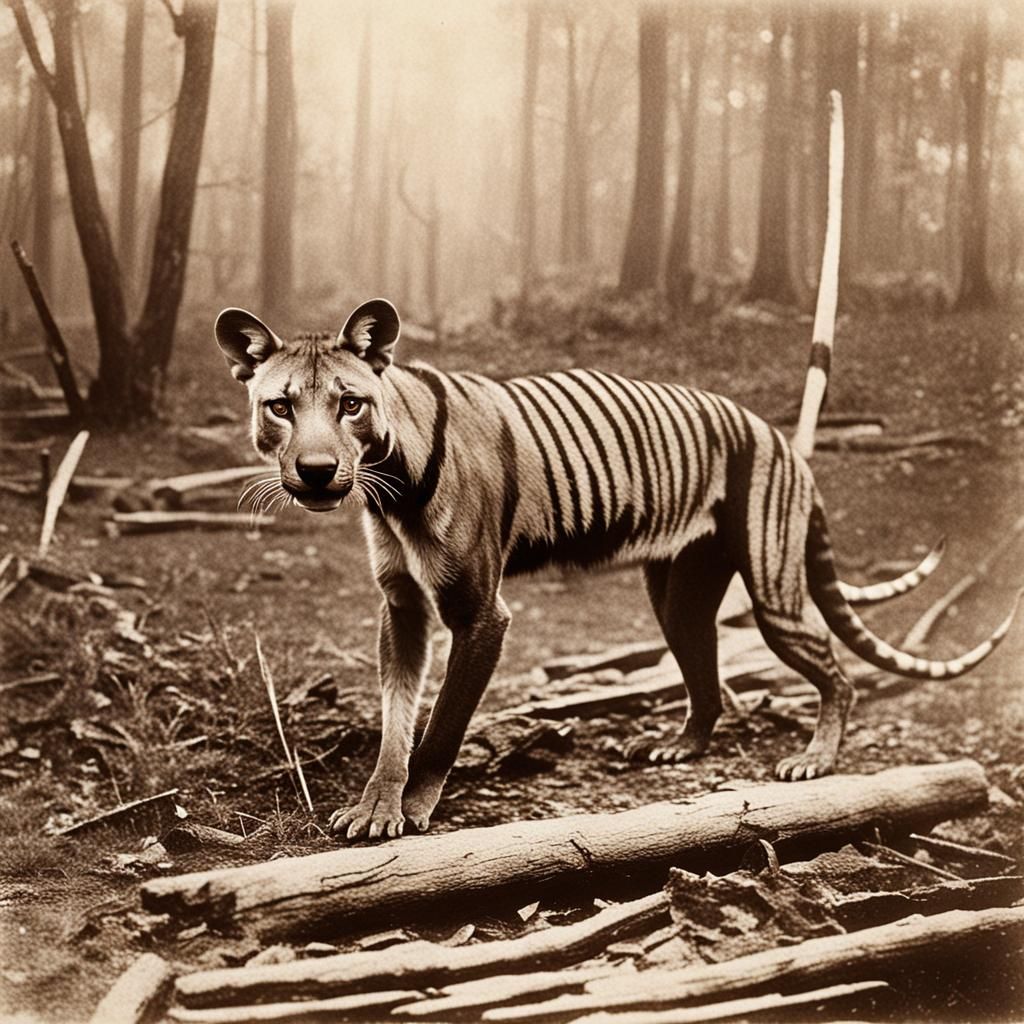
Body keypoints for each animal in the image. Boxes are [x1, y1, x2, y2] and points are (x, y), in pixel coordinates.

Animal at [215, 298, 1018, 840]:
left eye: (349, 403)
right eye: (281, 406)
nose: (317, 471)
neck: (390, 485)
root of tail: (775, 432)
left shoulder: (480, 614)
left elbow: (439, 727)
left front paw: (411, 810)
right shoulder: (402, 608)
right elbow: (395, 719)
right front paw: (376, 803)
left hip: (773, 591)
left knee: (836, 671)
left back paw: (814, 759)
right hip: (679, 597)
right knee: (708, 681)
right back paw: (681, 745)